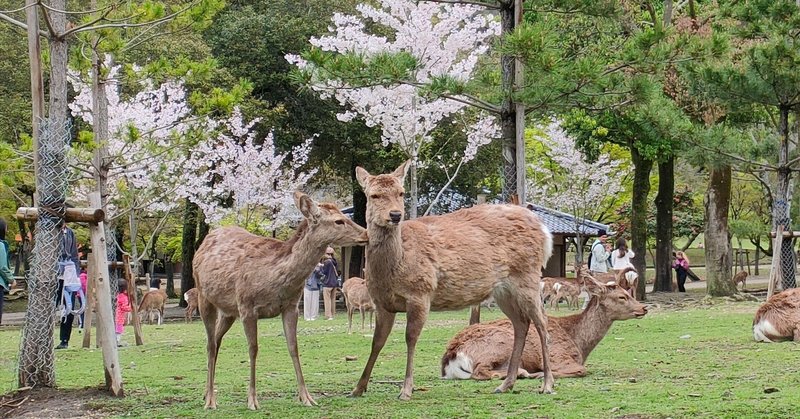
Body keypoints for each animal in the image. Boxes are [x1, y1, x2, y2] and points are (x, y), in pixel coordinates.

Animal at [194, 191, 368, 410]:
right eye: (339, 221)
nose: (366, 234)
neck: (275, 277)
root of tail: (204, 242)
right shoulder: (247, 306)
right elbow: (253, 349)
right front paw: (252, 400)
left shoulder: (291, 306)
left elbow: (294, 348)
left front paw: (307, 397)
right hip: (204, 296)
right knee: (210, 344)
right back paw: (210, 400)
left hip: (228, 311)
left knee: (216, 341)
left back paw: (205, 393)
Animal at [354, 162, 552, 402]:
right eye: (373, 195)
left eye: (401, 193)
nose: (395, 214)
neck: (393, 267)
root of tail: (545, 231)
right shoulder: (382, 303)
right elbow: (377, 341)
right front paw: (358, 388)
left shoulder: (420, 293)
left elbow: (411, 338)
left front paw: (406, 389)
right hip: (503, 291)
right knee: (521, 323)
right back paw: (506, 384)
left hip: (528, 275)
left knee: (542, 322)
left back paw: (547, 384)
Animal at [440, 278, 648, 382]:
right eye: (622, 297)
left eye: (628, 293)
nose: (644, 308)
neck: (579, 342)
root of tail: (451, 357)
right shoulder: (558, 356)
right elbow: (581, 369)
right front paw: (541, 373)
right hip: (500, 344)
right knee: (479, 372)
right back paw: (522, 373)